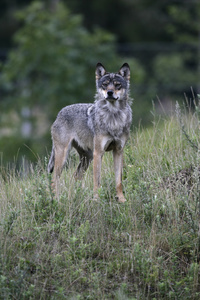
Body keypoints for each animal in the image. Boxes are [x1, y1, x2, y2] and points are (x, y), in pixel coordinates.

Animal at [47, 62, 132, 204]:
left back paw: (76, 197)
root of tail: (59, 113)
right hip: (63, 156)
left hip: (87, 158)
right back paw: (57, 201)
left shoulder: (118, 151)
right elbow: (96, 181)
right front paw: (96, 200)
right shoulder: (98, 153)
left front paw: (122, 199)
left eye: (117, 85)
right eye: (105, 85)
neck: (113, 118)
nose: (109, 92)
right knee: (54, 179)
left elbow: (118, 181)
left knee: (75, 176)